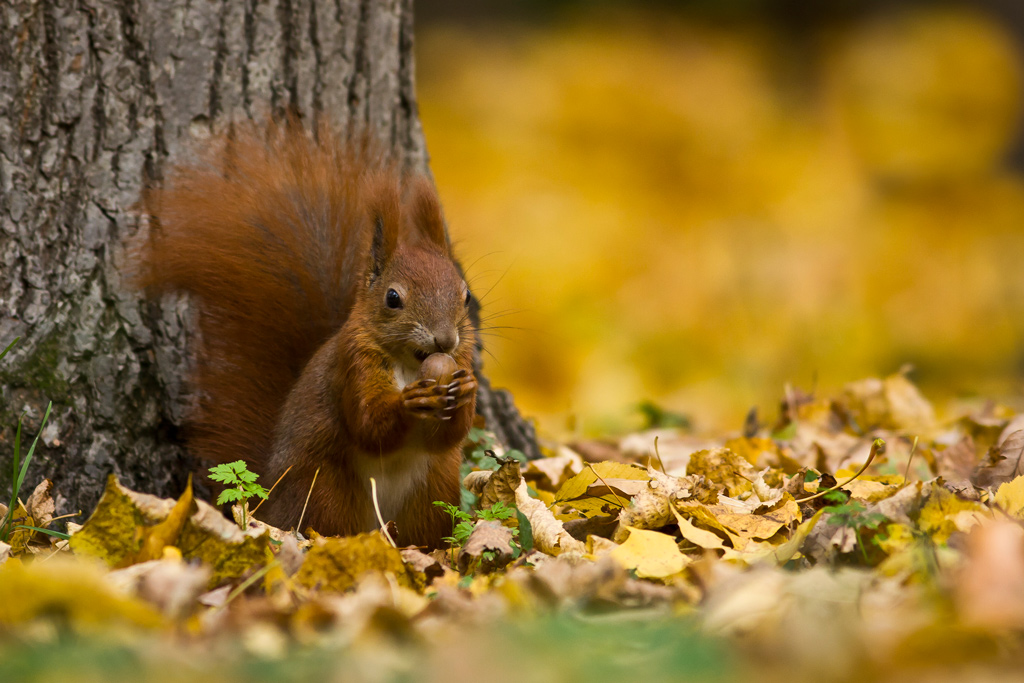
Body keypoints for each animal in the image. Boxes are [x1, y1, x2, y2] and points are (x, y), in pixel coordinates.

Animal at [134, 123, 478, 548]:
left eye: (466, 295)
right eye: (393, 298)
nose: (445, 340)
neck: (411, 365)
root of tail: (269, 502)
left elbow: (447, 438)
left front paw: (467, 390)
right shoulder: (351, 366)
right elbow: (369, 426)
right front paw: (409, 402)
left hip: (433, 493)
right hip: (324, 489)